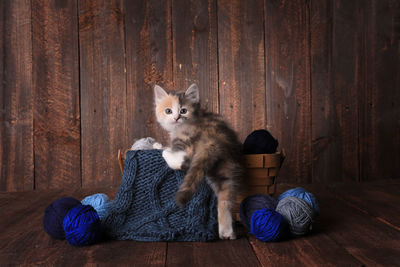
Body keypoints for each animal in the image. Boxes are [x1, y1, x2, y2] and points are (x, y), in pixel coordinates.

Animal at [153, 84, 242, 241]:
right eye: (168, 111)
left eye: (183, 111)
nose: (176, 118)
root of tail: (212, 138)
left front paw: (158, 146)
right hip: (224, 166)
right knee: (225, 198)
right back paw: (226, 231)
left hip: (185, 138)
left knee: (183, 161)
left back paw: (166, 153)